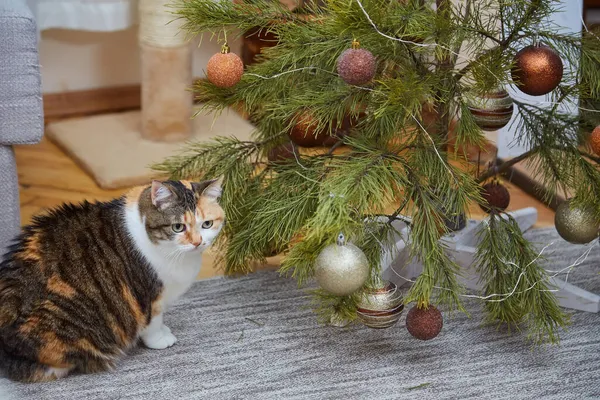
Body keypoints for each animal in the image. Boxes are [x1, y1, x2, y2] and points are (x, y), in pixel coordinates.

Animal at [0, 180, 224, 382]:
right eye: (178, 227)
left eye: (207, 224)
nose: (197, 242)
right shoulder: (150, 296)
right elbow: (153, 322)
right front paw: (160, 338)